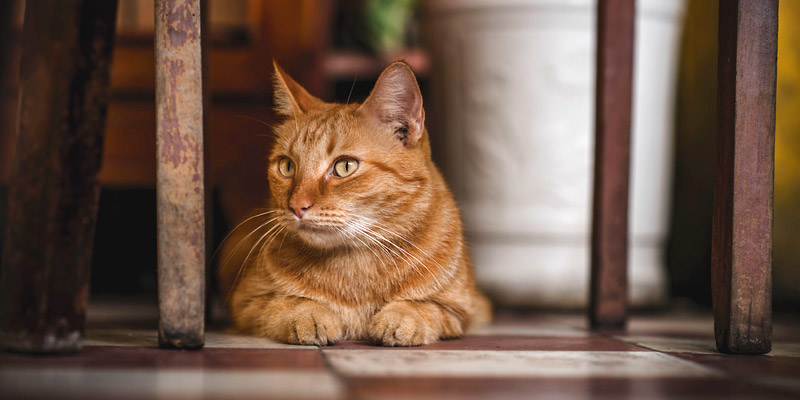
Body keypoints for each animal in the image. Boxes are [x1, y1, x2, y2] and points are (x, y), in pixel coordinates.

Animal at [220, 61, 494, 346]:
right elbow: (287, 304)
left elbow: (422, 307)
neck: (355, 266)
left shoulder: (461, 308)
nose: (296, 206)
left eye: (345, 166)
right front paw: (310, 317)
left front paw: (401, 319)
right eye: (287, 166)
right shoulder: (247, 302)